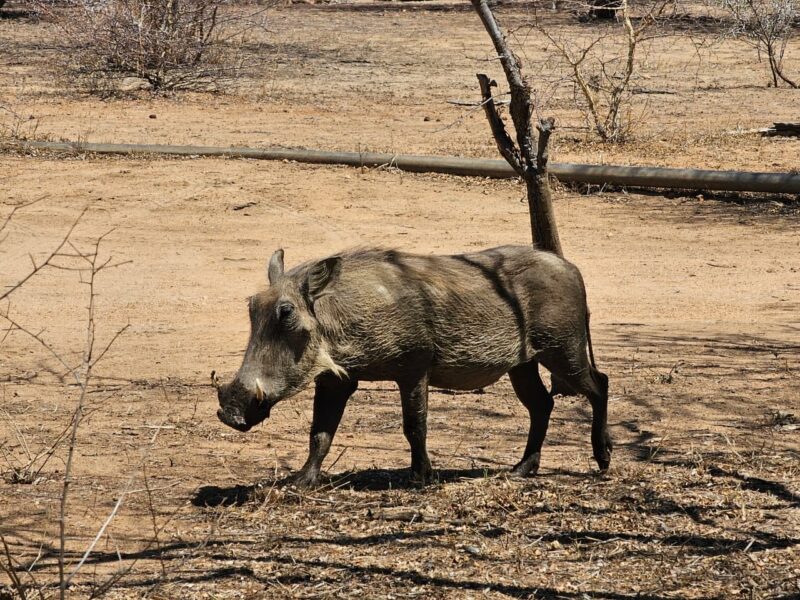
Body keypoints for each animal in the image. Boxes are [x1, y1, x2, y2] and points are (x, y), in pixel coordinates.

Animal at [214, 246, 611, 488]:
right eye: (251, 306)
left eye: (286, 312)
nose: (231, 412)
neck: (336, 318)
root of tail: (571, 267)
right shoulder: (335, 380)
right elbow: (320, 433)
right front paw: (301, 482)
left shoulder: (414, 368)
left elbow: (414, 426)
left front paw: (421, 478)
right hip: (523, 365)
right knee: (542, 405)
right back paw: (520, 471)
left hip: (563, 350)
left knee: (599, 385)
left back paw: (603, 459)